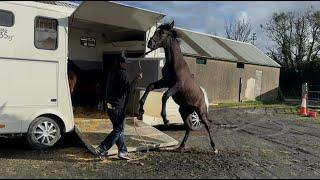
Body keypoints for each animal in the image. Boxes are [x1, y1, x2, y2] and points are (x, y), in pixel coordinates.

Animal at [138, 21, 218, 153]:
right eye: (156, 31)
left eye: (163, 32)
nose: (150, 43)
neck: (175, 64)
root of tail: (203, 96)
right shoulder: (165, 82)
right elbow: (150, 86)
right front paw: (141, 109)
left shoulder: (176, 86)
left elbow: (165, 96)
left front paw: (165, 119)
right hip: (183, 111)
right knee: (188, 127)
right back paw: (181, 146)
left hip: (200, 111)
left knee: (207, 124)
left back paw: (214, 147)